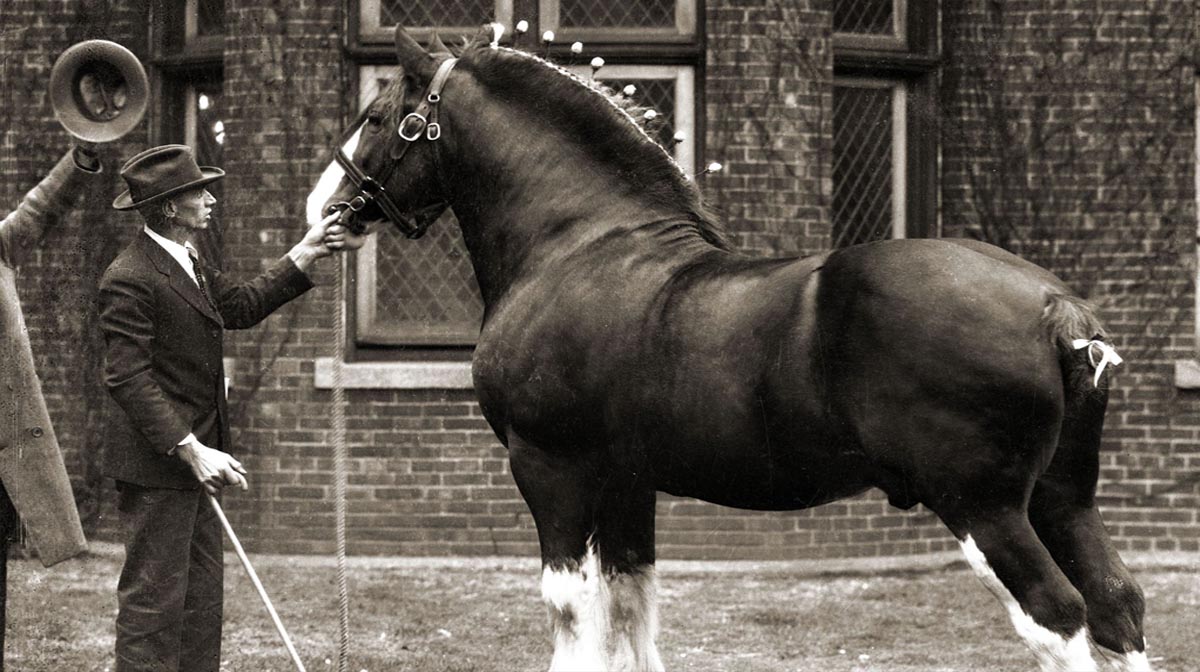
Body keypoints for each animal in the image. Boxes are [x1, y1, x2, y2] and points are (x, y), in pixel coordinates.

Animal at [319, 23, 1152, 667]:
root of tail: (1056, 310)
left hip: (983, 507)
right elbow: (632, 603)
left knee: (1058, 615)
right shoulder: (626, 481)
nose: (325, 209)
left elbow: (571, 608)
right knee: (1117, 601)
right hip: (1063, 497)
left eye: (380, 113)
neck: (579, 245)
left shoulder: (550, 466)